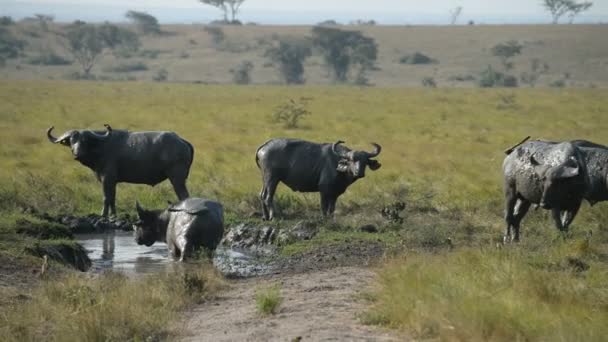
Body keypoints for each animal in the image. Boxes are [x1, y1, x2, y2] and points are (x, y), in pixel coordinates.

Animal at [47, 125, 195, 216]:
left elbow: (106, 197)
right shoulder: (112, 181)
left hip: (177, 179)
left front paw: (103, 215)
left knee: (184, 195)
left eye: (85, 140)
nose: (77, 154)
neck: (100, 146)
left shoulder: (107, 178)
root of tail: (181, 140)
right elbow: (112, 197)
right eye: (72, 140)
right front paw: (113, 215)